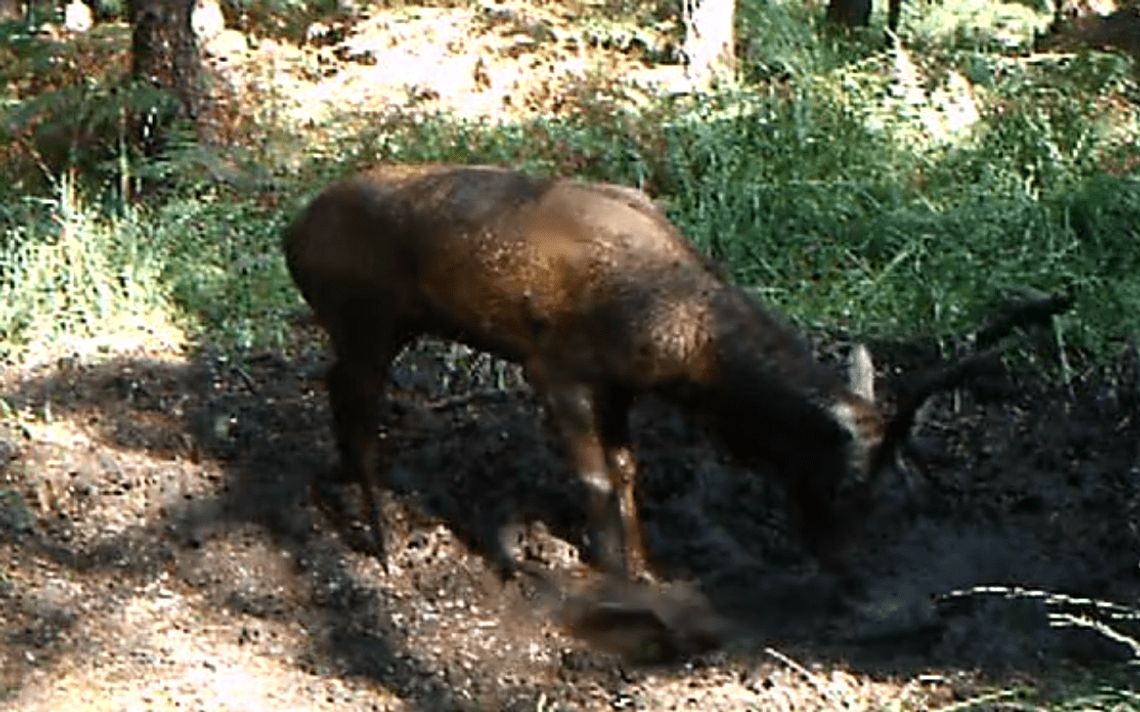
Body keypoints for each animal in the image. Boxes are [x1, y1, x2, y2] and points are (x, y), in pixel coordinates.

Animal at [280, 165, 948, 583]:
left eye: (903, 489)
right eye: (848, 485)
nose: (846, 569)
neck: (682, 353)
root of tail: (291, 237)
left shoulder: (618, 386)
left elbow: (627, 469)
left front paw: (646, 566)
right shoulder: (554, 367)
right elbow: (596, 477)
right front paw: (614, 572)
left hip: (374, 328)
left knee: (334, 385)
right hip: (365, 319)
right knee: (359, 409)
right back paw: (384, 543)